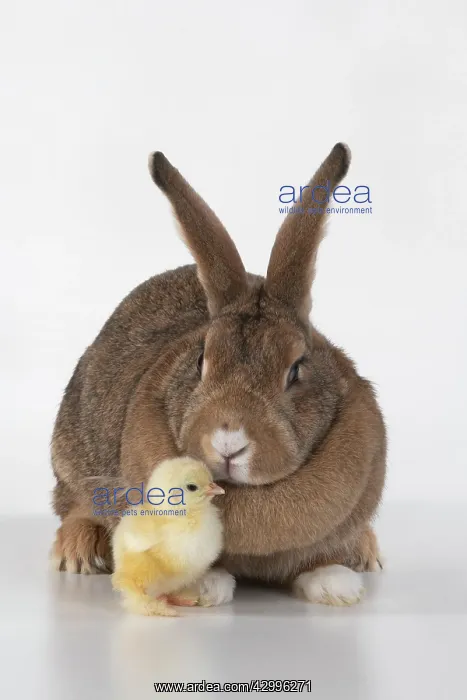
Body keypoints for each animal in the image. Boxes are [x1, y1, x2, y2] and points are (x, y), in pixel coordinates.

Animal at [50, 143, 386, 606]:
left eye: (295, 369)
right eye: (201, 361)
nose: (229, 442)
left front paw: (335, 585)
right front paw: (205, 587)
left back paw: (367, 553)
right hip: (70, 451)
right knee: (73, 503)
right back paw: (79, 551)